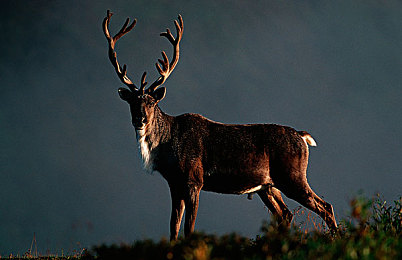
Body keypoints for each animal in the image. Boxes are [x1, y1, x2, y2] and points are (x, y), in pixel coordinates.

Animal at [101, 10, 336, 242]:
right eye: (132, 102)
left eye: (151, 102)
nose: (139, 120)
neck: (166, 147)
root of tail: (302, 137)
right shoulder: (174, 184)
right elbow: (173, 229)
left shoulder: (194, 180)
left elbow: (188, 228)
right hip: (267, 186)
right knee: (286, 215)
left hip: (292, 176)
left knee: (325, 206)